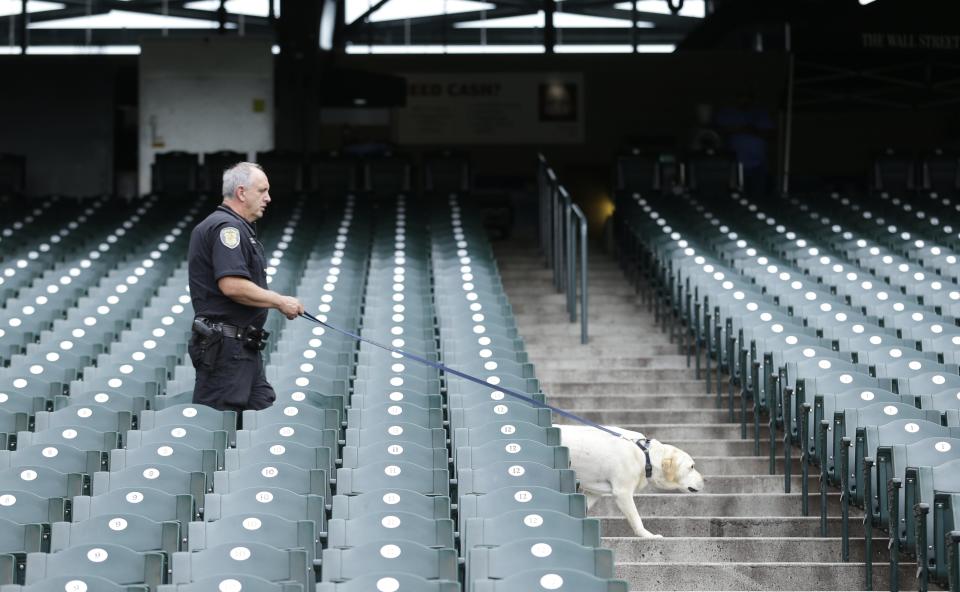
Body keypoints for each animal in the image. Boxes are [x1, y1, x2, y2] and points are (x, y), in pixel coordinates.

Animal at [556, 424, 704, 540]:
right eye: (691, 466)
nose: (704, 481)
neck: (646, 456)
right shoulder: (623, 492)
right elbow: (636, 518)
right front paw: (648, 535)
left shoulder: (593, 492)